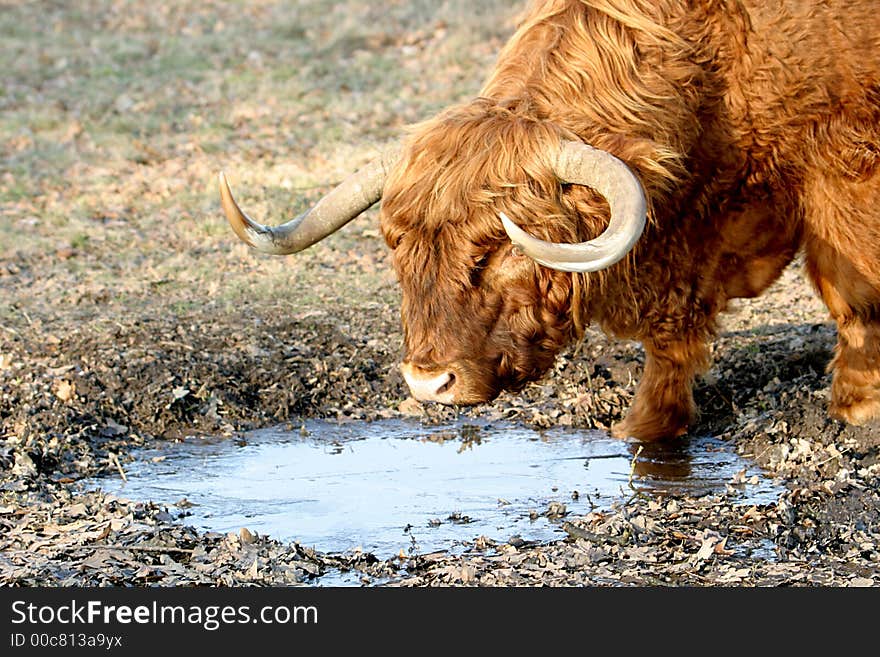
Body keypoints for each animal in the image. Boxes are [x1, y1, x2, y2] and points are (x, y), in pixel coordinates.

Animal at [218, 1, 880, 440]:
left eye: (505, 249)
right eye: (398, 246)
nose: (428, 383)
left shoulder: (842, 167)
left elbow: (853, 289)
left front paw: (856, 405)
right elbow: (672, 339)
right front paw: (646, 427)